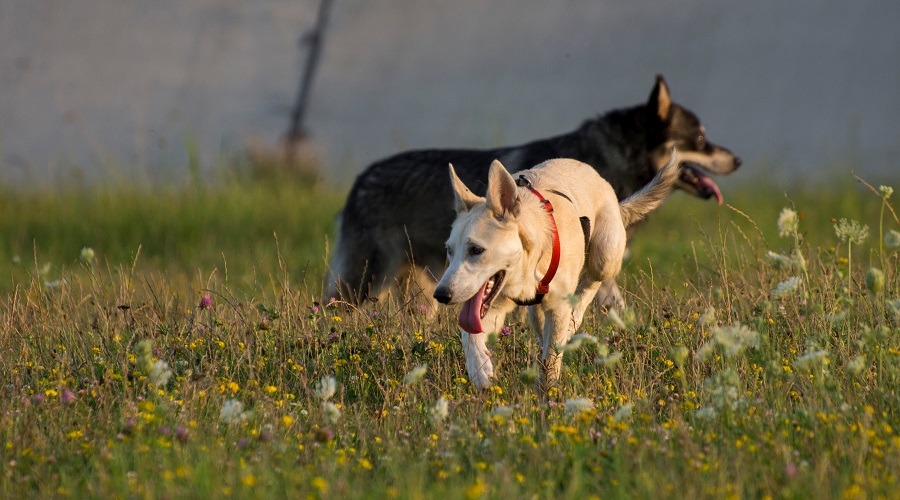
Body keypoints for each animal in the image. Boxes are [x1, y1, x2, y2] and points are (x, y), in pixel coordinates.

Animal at [432, 151, 680, 390]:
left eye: (476, 249)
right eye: (449, 250)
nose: (441, 295)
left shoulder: (558, 306)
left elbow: (551, 357)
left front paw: (547, 394)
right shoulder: (494, 306)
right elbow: (469, 335)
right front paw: (481, 371)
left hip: (605, 254)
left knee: (592, 283)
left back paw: (574, 317)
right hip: (536, 312)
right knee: (542, 326)